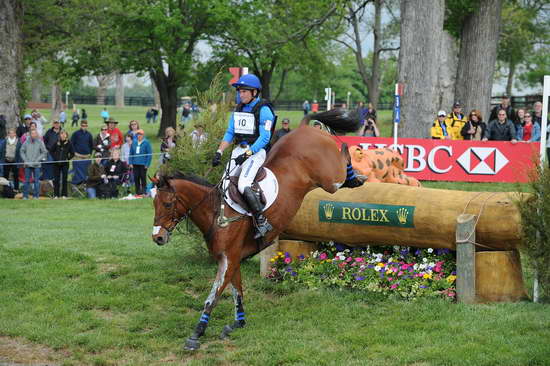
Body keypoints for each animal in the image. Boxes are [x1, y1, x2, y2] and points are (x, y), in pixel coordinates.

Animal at [151, 108, 362, 348]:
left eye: (168, 204)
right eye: (154, 203)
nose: (157, 237)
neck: (216, 212)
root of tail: (304, 129)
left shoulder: (228, 260)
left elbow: (212, 297)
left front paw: (197, 333)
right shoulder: (233, 259)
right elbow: (237, 292)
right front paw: (238, 323)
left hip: (329, 180)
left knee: (343, 156)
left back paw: (355, 171)